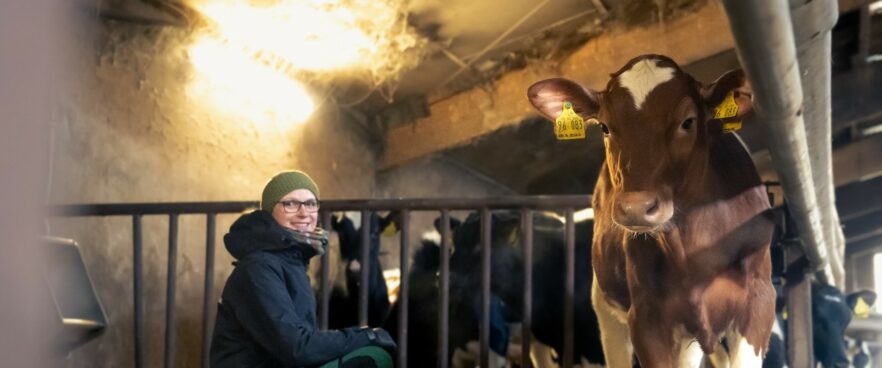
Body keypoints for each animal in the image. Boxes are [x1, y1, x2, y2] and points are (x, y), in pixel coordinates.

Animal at [524, 55, 772, 368]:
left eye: (688, 121)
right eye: (604, 127)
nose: (636, 208)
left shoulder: (759, 303)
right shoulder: (647, 318)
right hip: (606, 312)